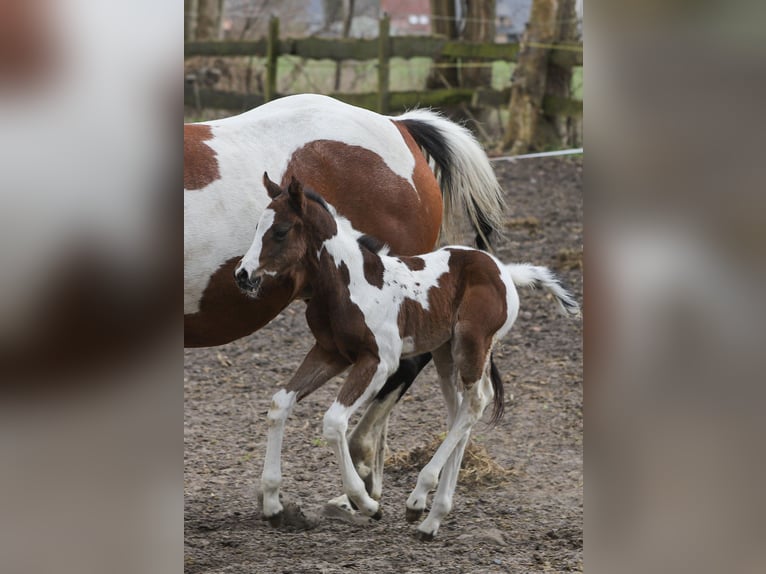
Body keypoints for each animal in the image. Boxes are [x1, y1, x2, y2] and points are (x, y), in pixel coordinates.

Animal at [234, 174, 579, 539]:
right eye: (257, 227)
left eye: (281, 231)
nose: (242, 275)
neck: (350, 283)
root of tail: (505, 272)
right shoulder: (330, 353)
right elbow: (279, 404)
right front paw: (273, 505)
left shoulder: (379, 362)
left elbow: (334, 421)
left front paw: (366, 503)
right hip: (445, 354)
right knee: (460, 411)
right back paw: (432, 518)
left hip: (471, 346)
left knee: (475, 403)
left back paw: (418, 499)